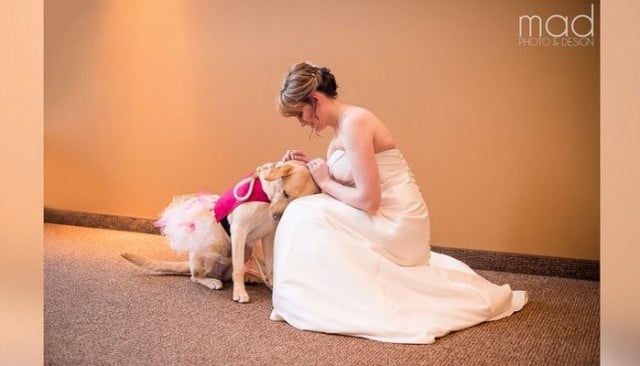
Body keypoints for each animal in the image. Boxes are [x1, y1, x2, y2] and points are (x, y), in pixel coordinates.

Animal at [120, 160, 320, 304]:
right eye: (285, 193)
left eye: (293, 201)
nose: (277, 217)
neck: (266, 196)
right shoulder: (239, 229)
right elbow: (238, 268)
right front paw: (240, 293)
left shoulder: (268, 236)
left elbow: (270, 266)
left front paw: (271, 287)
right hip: (214, 247)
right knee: (195, 277)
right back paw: (212, 281)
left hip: (247, 249)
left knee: (227, 274)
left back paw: (249, 277)